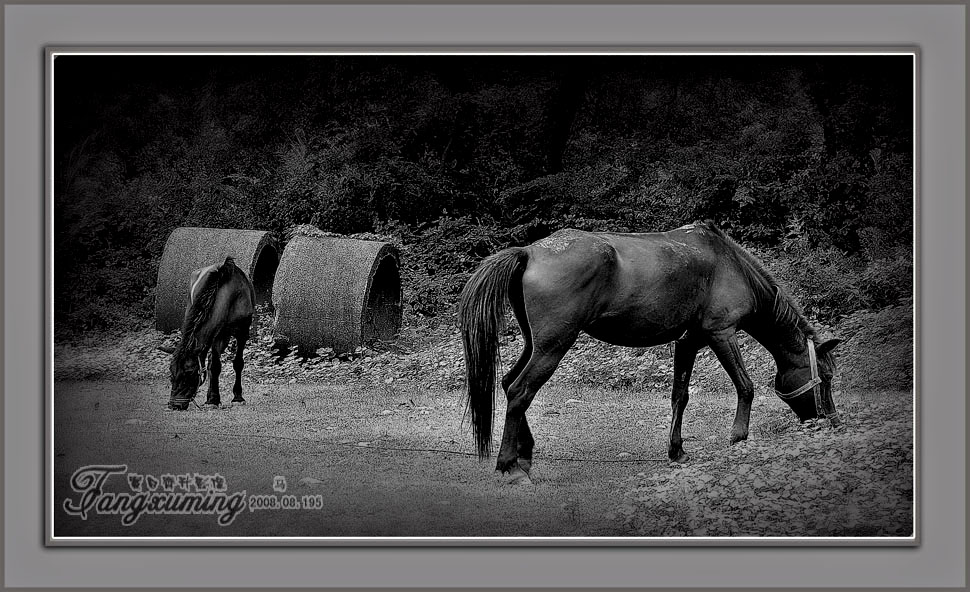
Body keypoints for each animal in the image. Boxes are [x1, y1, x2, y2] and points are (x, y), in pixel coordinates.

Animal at [163, 256, 255, 410]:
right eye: (171, 372)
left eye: (189, 372)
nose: (174, 405)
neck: (233, 296)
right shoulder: (217, 336)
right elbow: (215, 366)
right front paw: (213, 399)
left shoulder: (242, 333)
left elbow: (237, 363)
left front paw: (237, 397)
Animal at [458, 222, 836, 476]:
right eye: (827, 377)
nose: (830, 420)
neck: (730, 264)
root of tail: (530, 252)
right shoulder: (722, 334)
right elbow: (746, 386)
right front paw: (739, 438)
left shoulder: (689, 340)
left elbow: (680, 396)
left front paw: (677, 450)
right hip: (553, 345)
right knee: (520, 391)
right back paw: (509, 466)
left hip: (534, 344)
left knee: (509, 383)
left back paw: (524, 454)